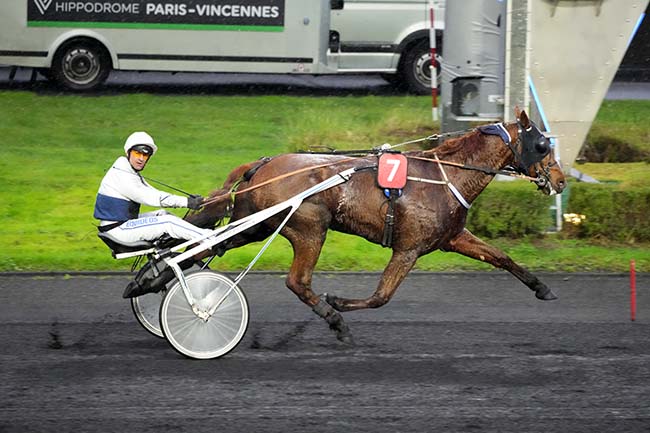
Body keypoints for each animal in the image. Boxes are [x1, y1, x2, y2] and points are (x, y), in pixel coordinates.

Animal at [186, 109, 560, 342]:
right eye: (542, 144)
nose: (559, 180)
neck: (445, 176)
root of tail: (262, 163)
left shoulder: (452, 237)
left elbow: (501, 257)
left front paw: (542, 288)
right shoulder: (409, 248)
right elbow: (382, 296)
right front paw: (337, 302)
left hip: (256, 225)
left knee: (209, 246)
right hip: (309, 228)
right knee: (297, 282)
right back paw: (335, 321)